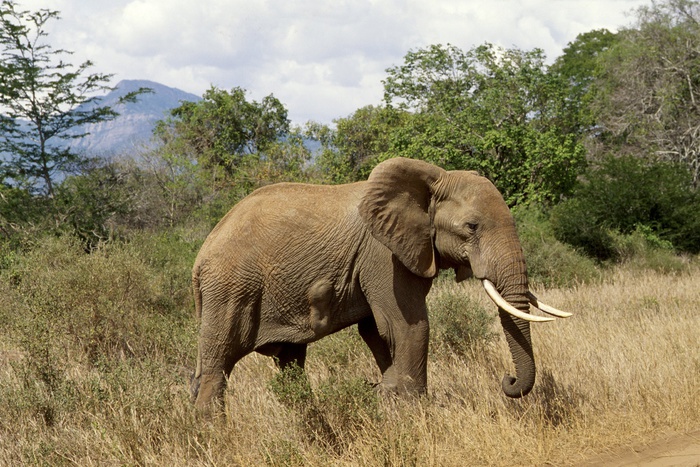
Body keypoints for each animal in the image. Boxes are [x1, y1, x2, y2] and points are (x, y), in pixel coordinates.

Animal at [190, 156, 568, 410]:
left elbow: (377, 331)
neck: (433, 180)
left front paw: (387, 395)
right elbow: (409, 326)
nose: (508, 380)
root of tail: (200, 256)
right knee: (216, 368)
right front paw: (413, 414)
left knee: (289, 364)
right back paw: (213, 437)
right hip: (230, 289)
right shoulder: (383, 257)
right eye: (472, 227)